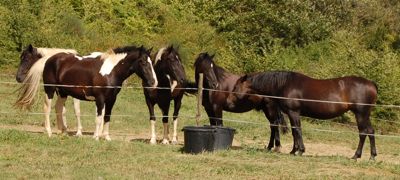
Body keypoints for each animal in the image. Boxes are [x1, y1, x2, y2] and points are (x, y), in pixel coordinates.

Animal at [15, 45, 157, 141]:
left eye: (151, 62)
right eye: (143, 62)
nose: (153, 82)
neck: (111, 71)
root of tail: (50, 59)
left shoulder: (111, 99)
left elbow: (107, 117)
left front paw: (106, 137)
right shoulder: (100, 99)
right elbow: (98, 118)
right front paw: (96, 137)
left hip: (63, 92)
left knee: (59, 108)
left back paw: (62, 132)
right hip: (50, 90)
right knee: (47, 108)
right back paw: (49, 132)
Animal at [228, 71, 378, 160]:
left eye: (235, 87)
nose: (228, 102)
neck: (285, 84)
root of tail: (371, 84)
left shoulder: (294, 112)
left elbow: (297, 130)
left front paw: (300, 150)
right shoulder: (291, 113)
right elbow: (295, 131)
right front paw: (293, 150)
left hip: (361, 114)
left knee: (363, 133)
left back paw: (357, 156)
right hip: (365, 115)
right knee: (370, 131)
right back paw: (371, 156)